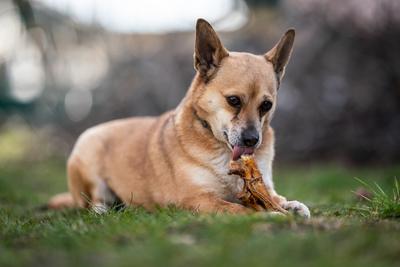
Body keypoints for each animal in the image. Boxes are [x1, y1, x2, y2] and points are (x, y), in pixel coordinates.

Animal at [48, 19, 310, 220]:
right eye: (233, 100)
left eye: (266, 106)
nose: (252, 140)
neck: (224, 154)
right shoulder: (197, 199)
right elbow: (236, 208)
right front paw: (268, 214)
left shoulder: (262, 186)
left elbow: (275, 198)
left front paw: (291, 206)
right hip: (88, 156)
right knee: (94, 202)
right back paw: (103, 210)